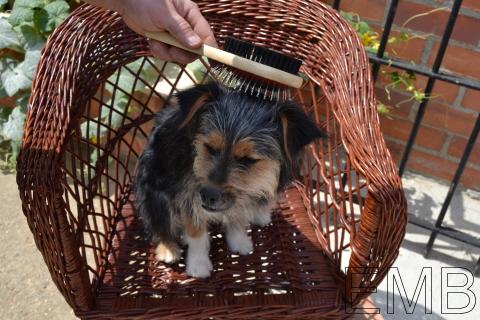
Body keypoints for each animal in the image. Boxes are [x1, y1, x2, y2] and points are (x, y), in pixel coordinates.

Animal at [133, 82, 324, 278]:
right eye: (209, 147)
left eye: (248, 159)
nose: (208, 195)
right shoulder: (187, 194)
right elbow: (196, 232)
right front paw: (198, 264)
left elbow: (237, 217)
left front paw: (239, 240)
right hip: (154, 196)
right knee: (157, 224)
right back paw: (168, 249)